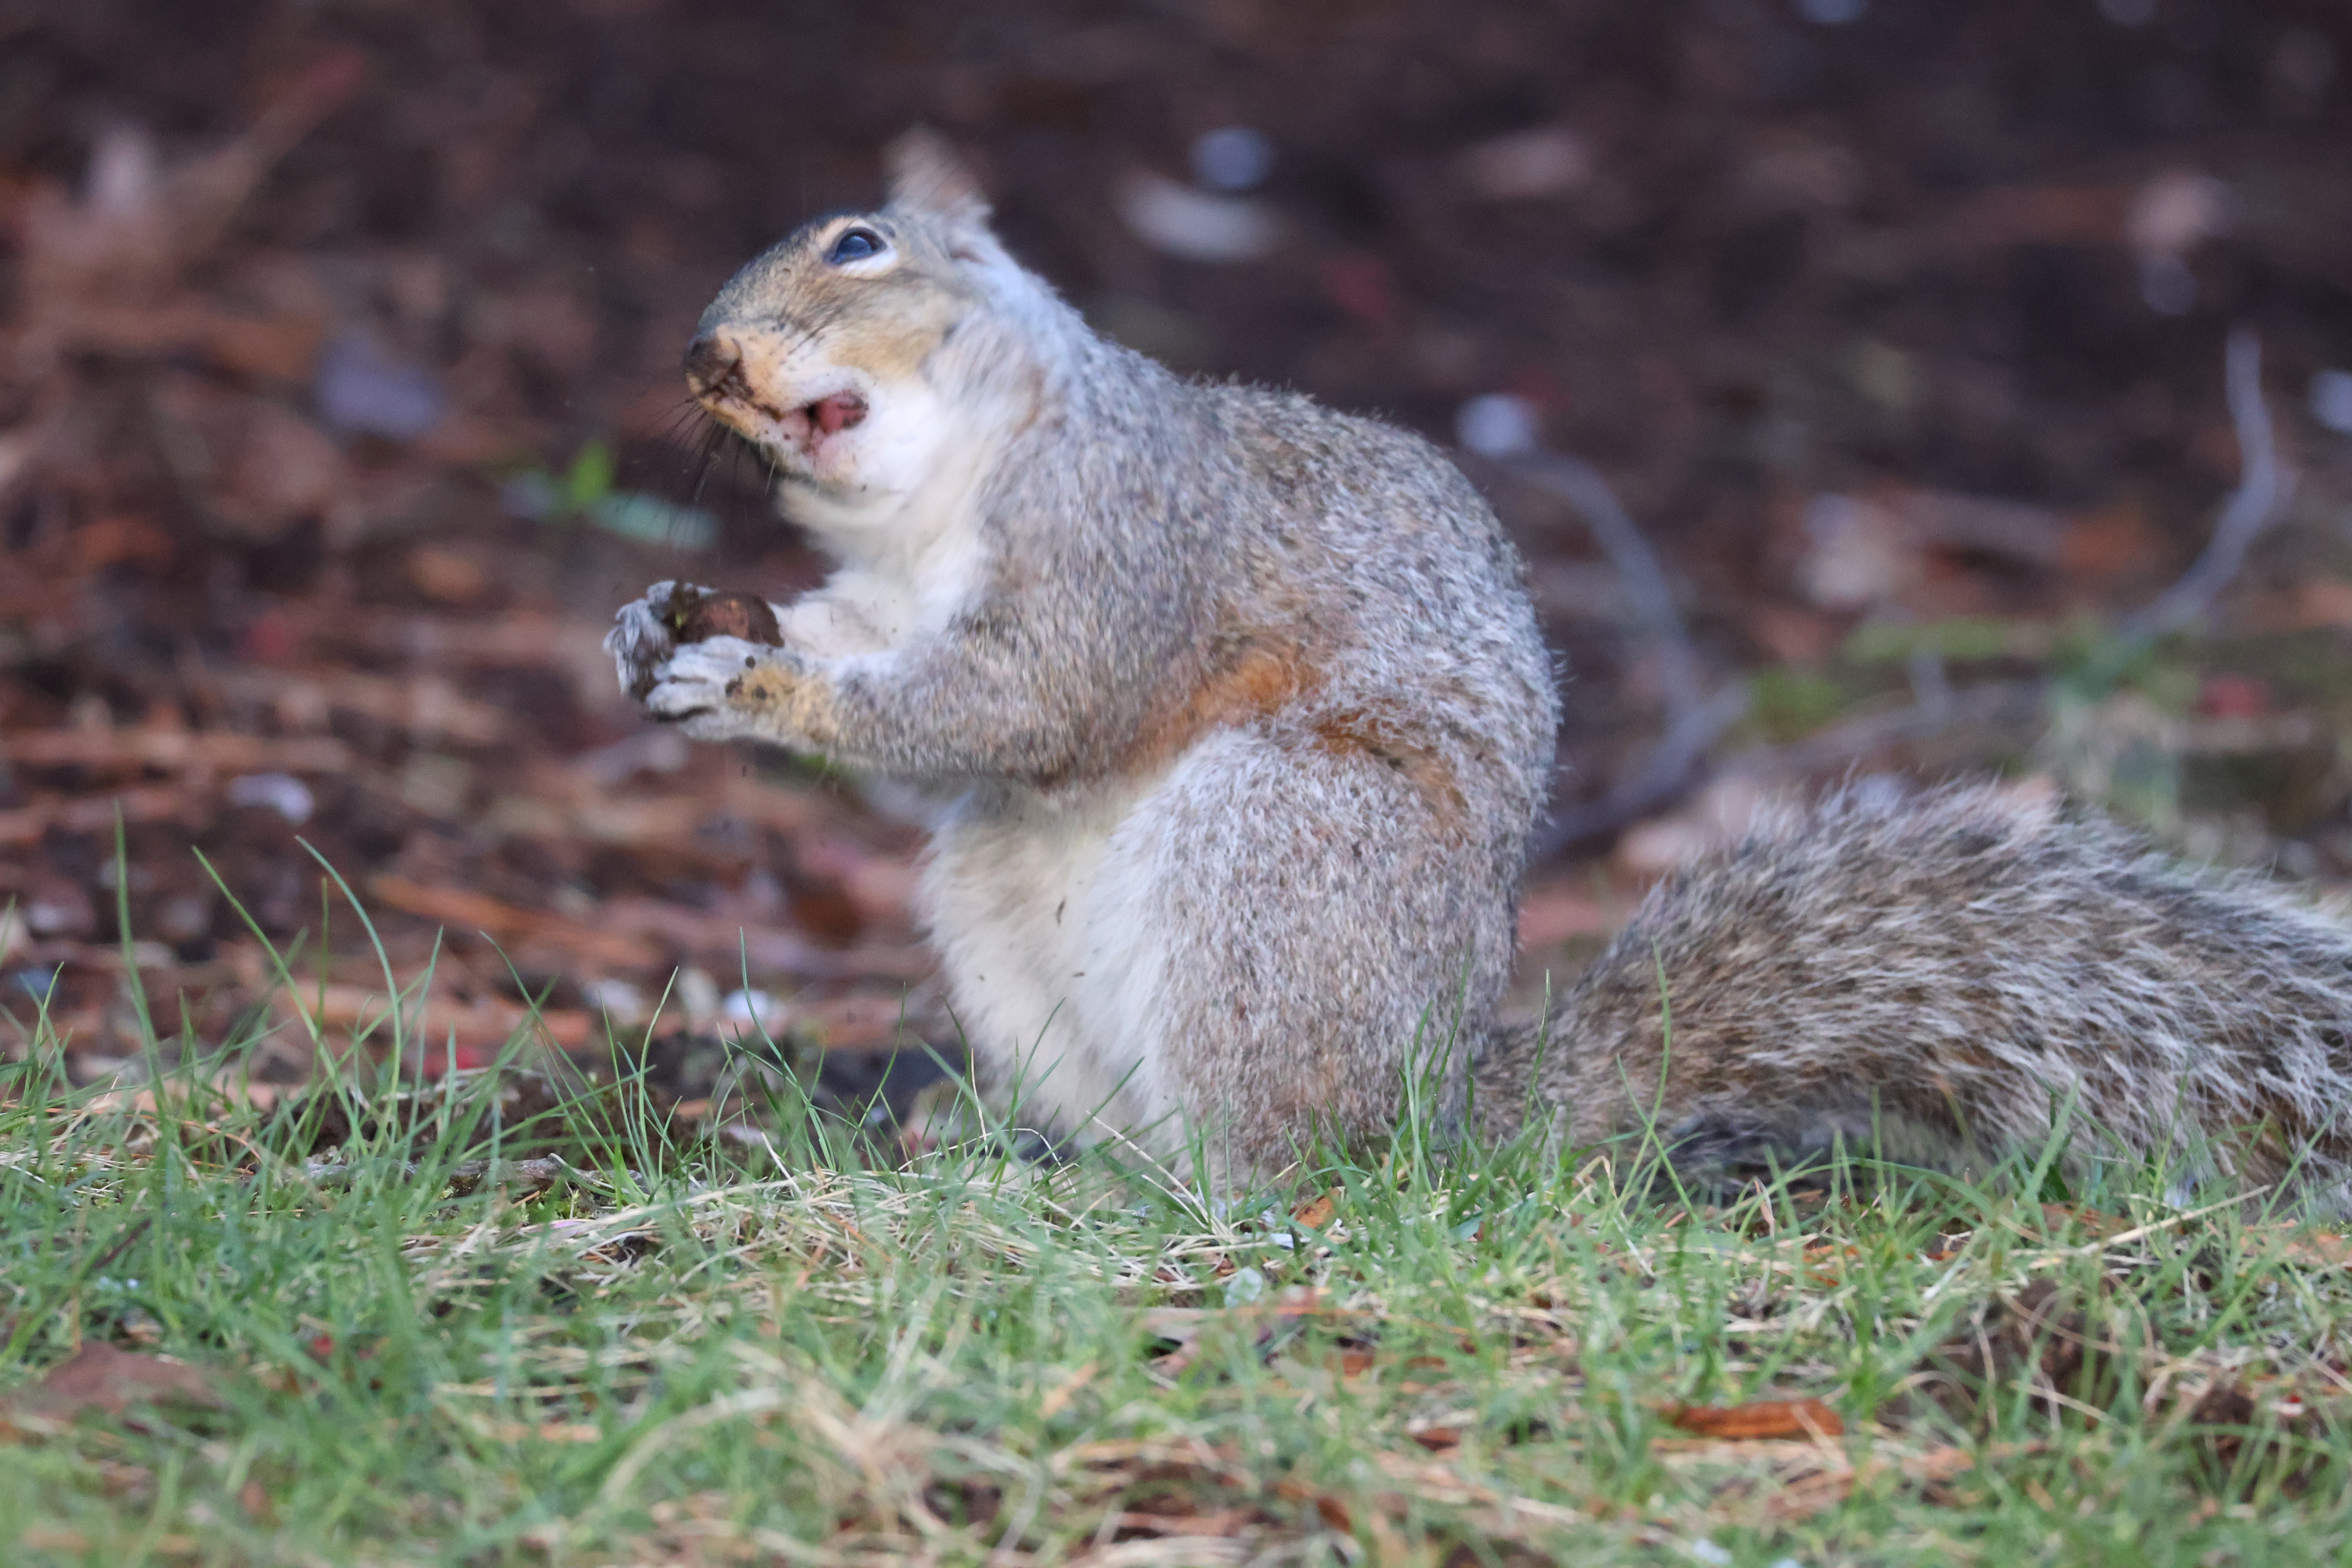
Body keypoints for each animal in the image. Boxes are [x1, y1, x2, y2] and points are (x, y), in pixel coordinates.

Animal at [608, 130, 2352, 1204]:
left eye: (858, 245)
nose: (699, 358)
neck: (940, 491)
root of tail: (1437, 1115)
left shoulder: (1130, 544)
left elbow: (1028, 700)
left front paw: (755, 688)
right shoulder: (885, 588)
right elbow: (871, 650)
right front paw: (669, 626)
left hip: (1283, 850)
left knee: (1286, 1144)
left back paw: (1221, 1198)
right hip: (1008, 911)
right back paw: (1082, 1176)